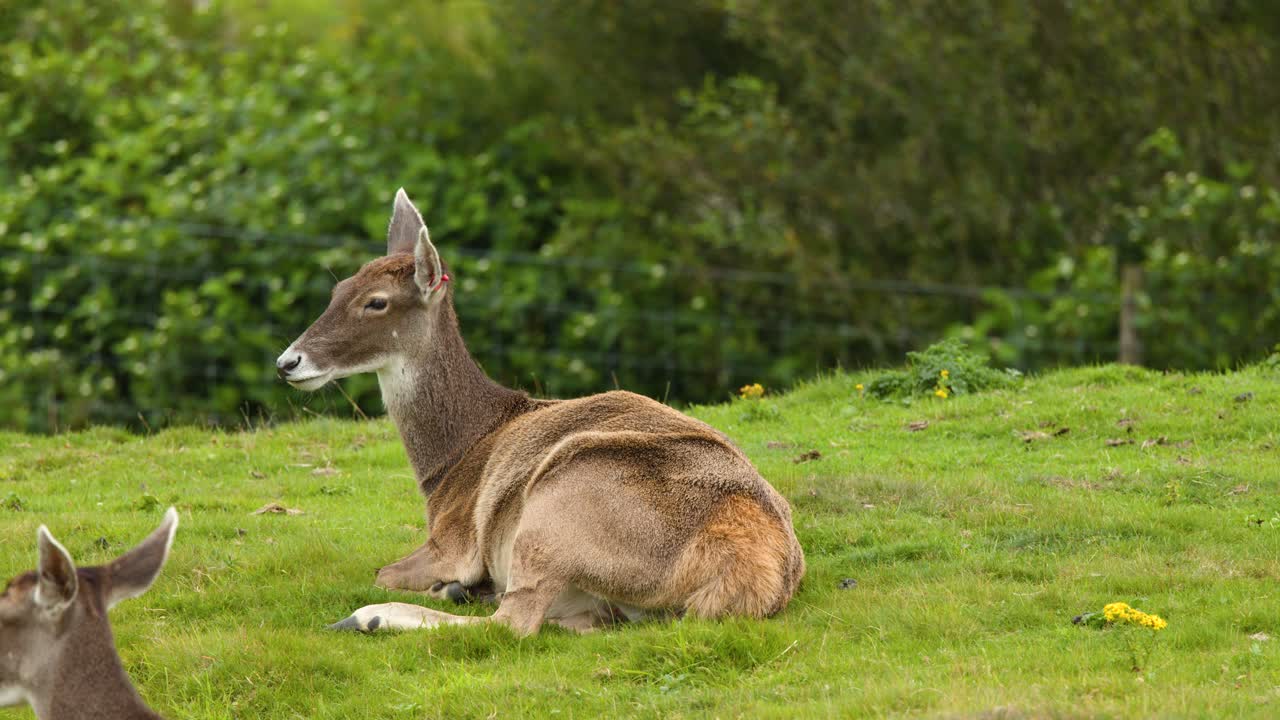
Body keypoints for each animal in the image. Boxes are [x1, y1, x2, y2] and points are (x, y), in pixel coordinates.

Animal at [276, 189, 804, 635]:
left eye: (376, 302)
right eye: (338, 289)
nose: (288, 362)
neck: (450, 464)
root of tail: (749, 573)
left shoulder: (453, 541)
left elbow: (383, 571)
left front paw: (440, 588)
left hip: (558, 506)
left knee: (514, 621)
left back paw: (370, 616)